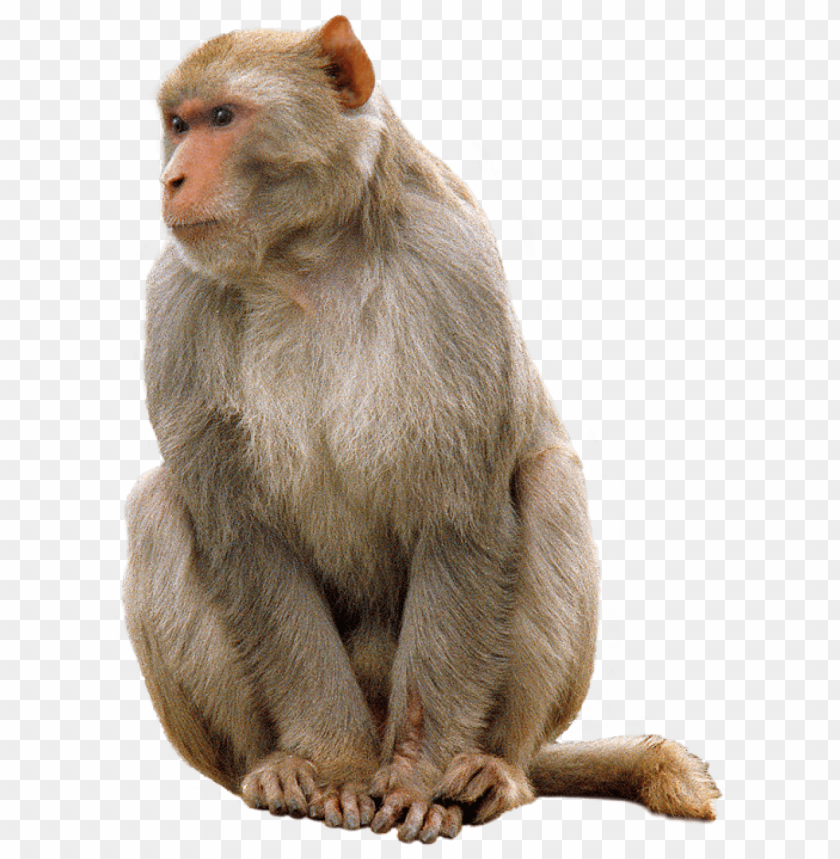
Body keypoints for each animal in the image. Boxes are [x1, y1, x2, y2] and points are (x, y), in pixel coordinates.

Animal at [123, 16, 720, 844]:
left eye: (222, 117)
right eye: (177, 124)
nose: (172, 179)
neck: (306, 260)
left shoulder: (453, 273)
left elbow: (461, 521)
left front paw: (415, 777)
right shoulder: (176, 299)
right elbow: (246, 540)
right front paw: (335, 767)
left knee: (548, 482)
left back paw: (493, 770)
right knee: (158, 506)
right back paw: (274, 767)